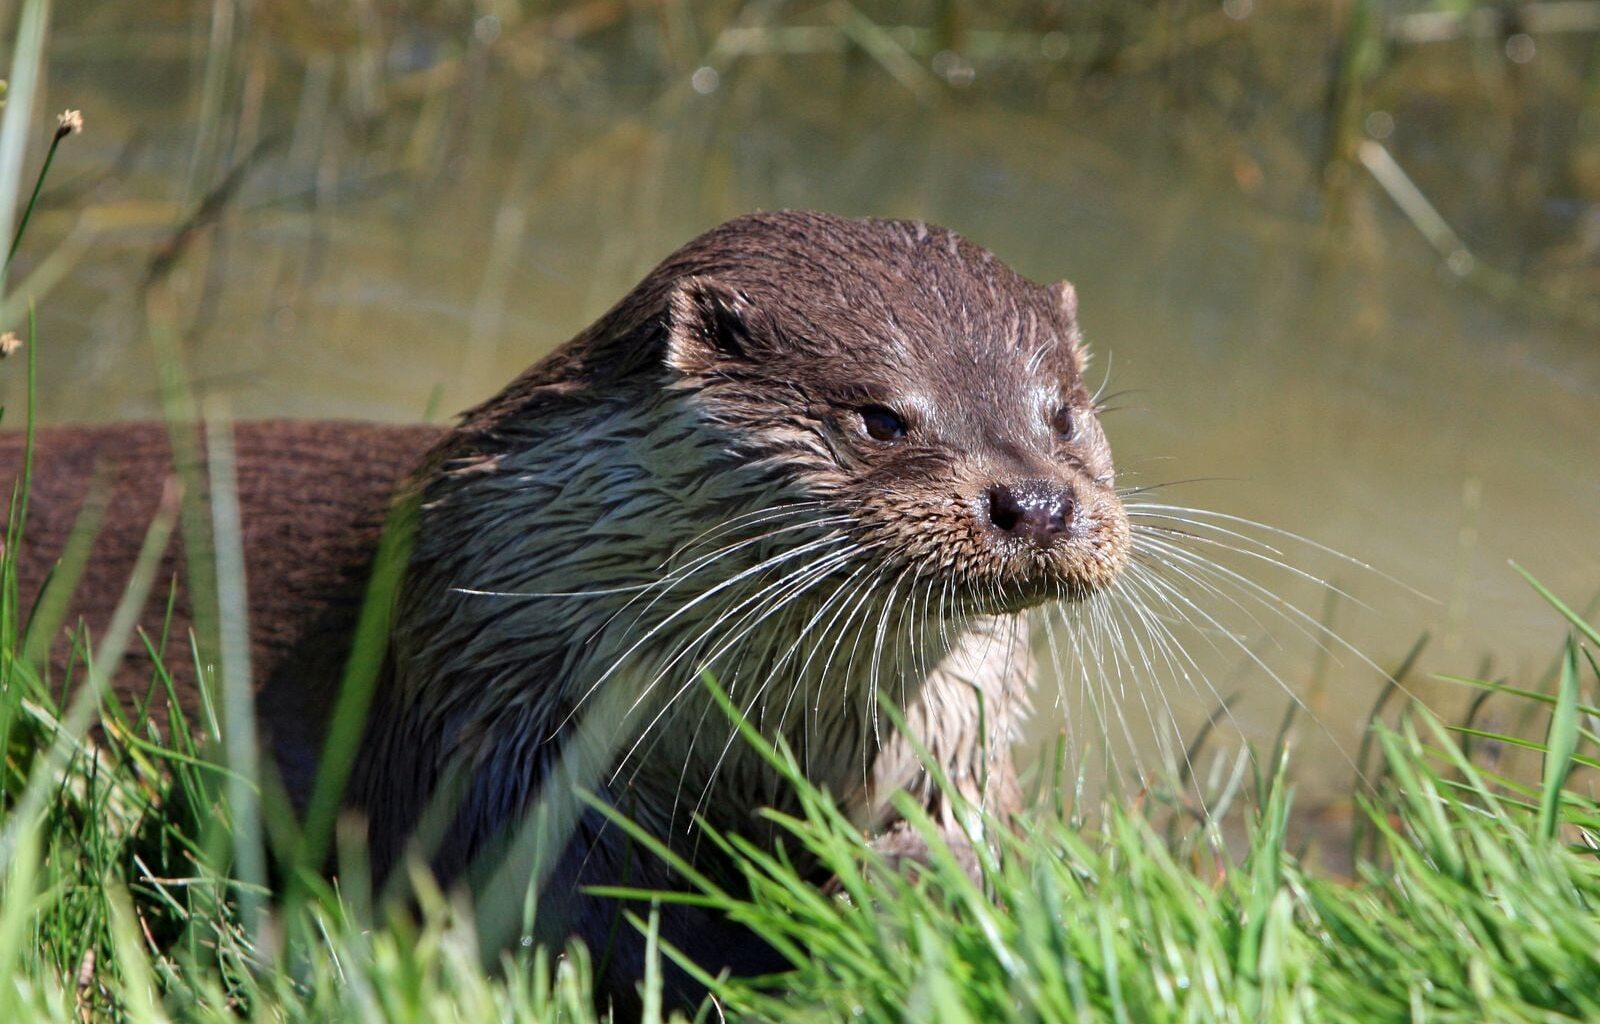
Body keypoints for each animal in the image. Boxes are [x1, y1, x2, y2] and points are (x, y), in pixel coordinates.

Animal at [3, 210, 1129, 1010]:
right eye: (882, 418)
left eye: (1063, 415)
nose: (1036, 502)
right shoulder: (492, 716)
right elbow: (566, 903)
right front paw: (762, 952)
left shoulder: (956, 732)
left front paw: (919, 898)